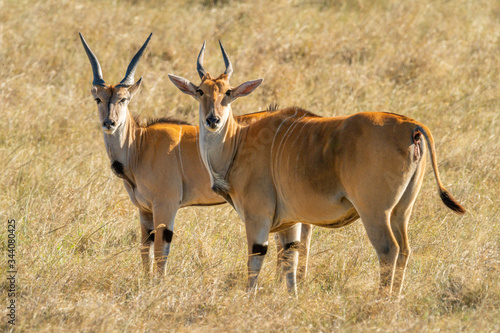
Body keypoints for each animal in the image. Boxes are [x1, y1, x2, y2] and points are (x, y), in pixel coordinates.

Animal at [79, 33, 310, 278]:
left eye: (123, 99)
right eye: (98, 100)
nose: (109, 123)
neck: (139, 146)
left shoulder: (165, 206)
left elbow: (160, 252)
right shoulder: (144, 210)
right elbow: (145, 252)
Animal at [168, 40, 464, 294]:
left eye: (228, 93)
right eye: (200, 91)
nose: (212, 120)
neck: (238, 140)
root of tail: (410, 125)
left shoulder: (257, 217)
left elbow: (256, 261)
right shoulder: (289, 223)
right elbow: (291, 263)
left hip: (375, 212)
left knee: (388, 249)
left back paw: (382, 300)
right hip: (402, 211)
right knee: (404, 249)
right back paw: (396, 298)